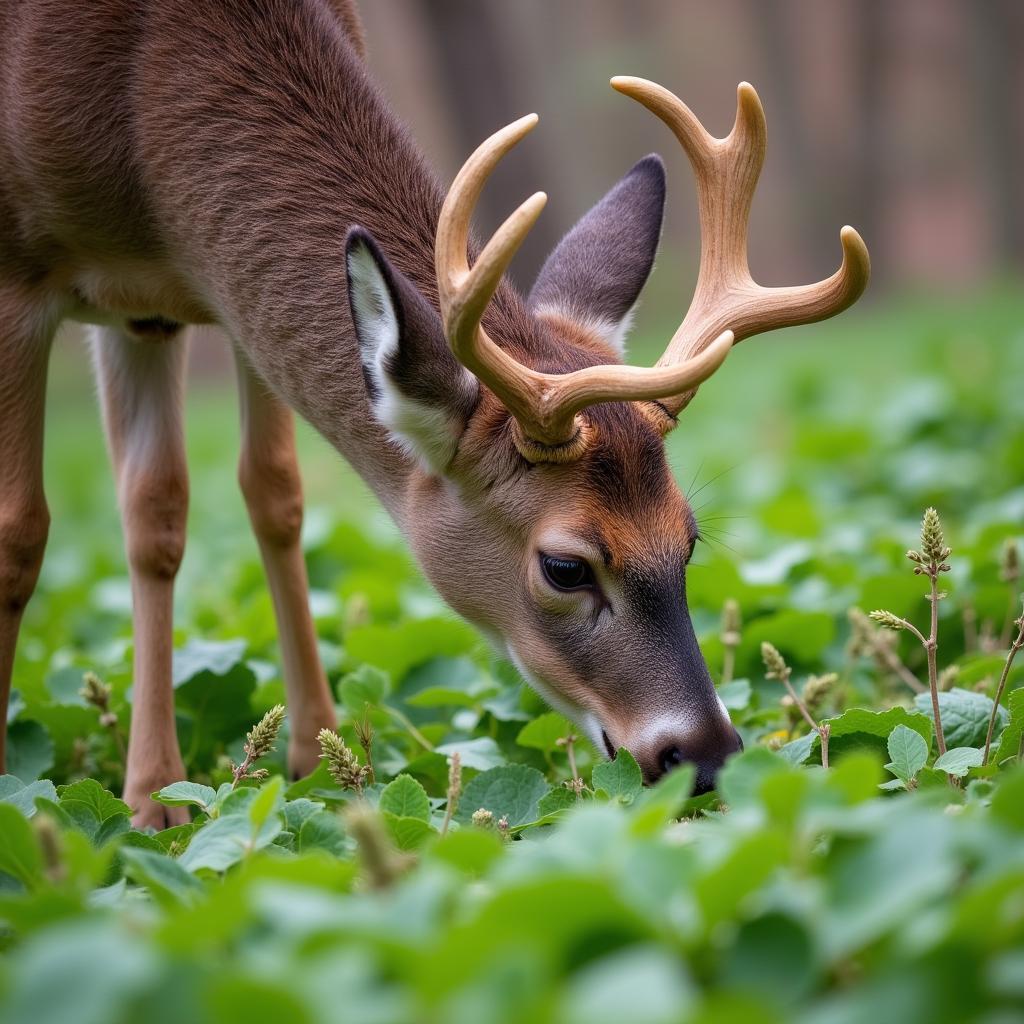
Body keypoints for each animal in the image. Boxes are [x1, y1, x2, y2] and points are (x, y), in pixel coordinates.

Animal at [0, 0, 868, 827]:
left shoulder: (204, 301)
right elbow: (22, 531)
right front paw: (137, 804)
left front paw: (294, 769)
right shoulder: (29, 279)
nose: (708, 755)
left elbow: (256, 496)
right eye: (565, 566)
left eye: (689, 539)